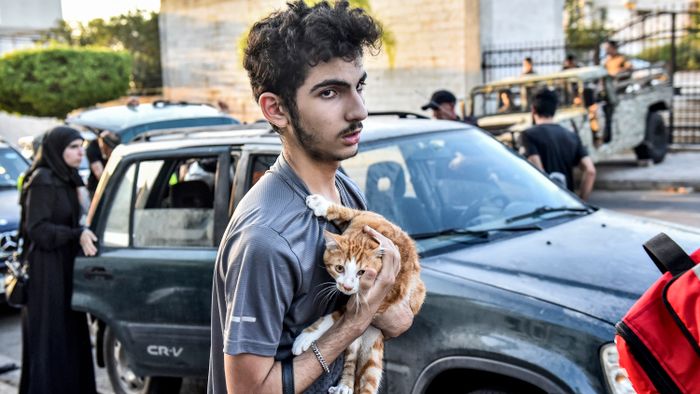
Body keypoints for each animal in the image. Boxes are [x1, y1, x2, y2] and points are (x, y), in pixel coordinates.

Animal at [292, 194, 426, 394]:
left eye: (362, 273)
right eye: (339, 268)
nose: (347, 287)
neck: (363, 239)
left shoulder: (385, 297)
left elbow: (338, 314)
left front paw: (307, 336)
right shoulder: (366, 217)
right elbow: (347, 211)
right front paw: (321, 203)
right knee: (351, 355)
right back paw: (344, 385)